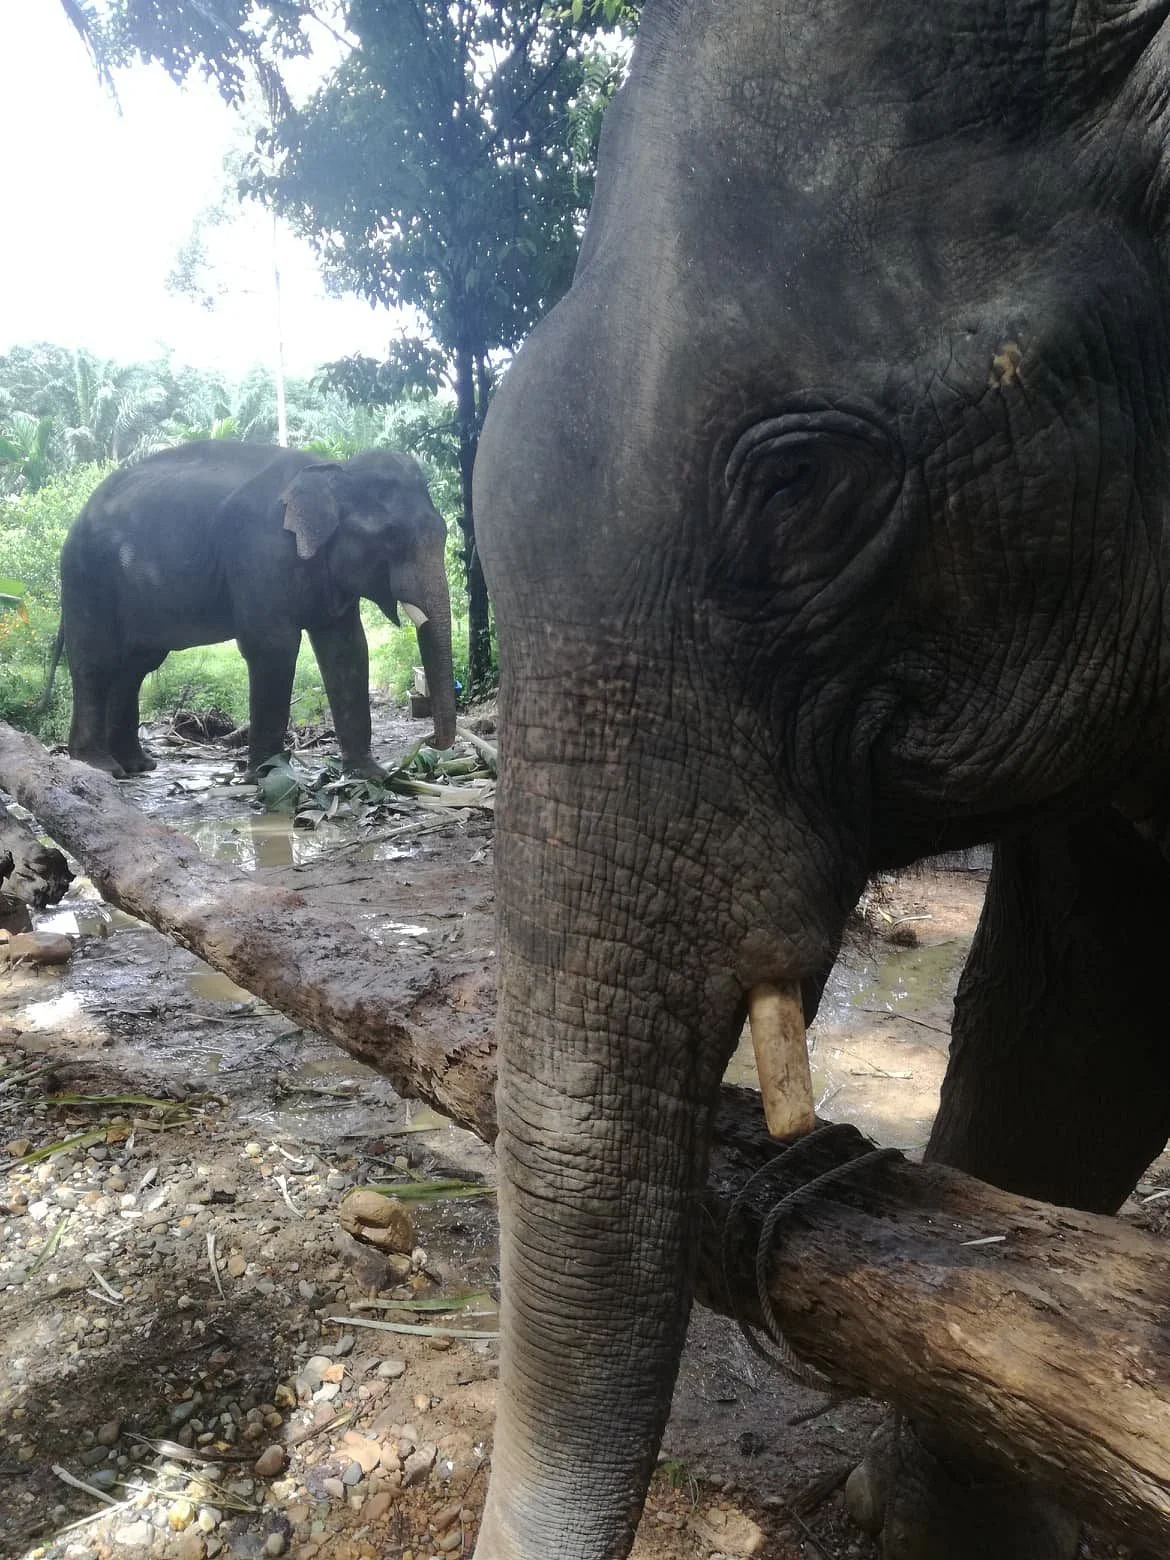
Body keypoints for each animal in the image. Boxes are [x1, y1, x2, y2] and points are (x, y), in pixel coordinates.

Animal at [51, 441, 456, 780]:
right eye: (391, 536)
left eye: (444, 530)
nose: (429, 745)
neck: (331, 469)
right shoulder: (258, 551)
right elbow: (273, 646)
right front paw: (266, 775)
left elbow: (347, 649)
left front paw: (370, 775)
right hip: (86, 575)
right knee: (97, 660)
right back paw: (101, 766)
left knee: (135, 667)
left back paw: (137, 766)